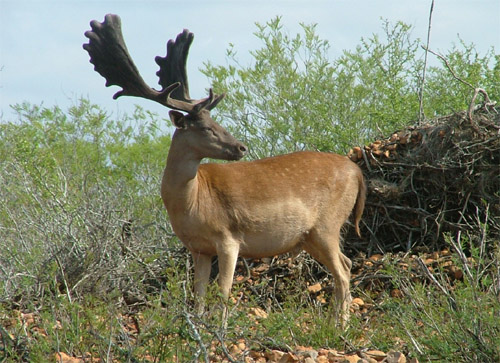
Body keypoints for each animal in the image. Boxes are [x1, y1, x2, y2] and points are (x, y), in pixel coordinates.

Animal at [83, 14, 368, 328]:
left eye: (215, 122)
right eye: (207, 127)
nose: (241, 147)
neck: (193, 201)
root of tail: (356, 172)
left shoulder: (228, 238)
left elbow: (223, 291)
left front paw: (220, 330)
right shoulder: (199, 248)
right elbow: (199, 296)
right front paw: (197, 327)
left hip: (327, 224)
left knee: (343, 270)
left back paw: (341, 327)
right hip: (310, 236)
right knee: (346, 263)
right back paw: (333, 323)